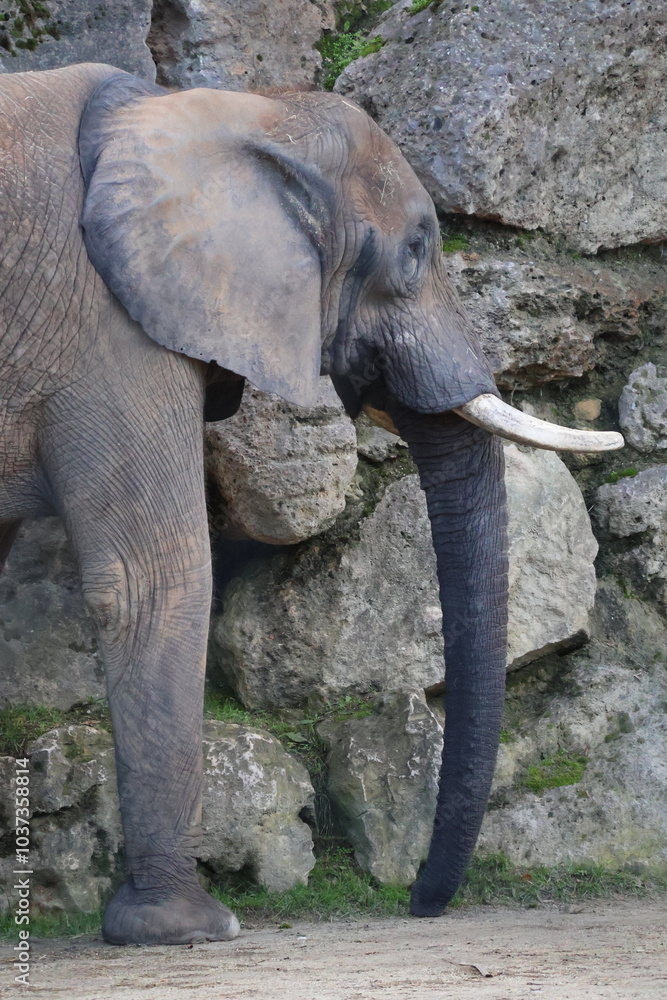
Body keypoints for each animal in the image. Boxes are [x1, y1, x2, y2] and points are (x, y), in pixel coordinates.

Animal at [0, 63, 623, 945]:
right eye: (415, 250)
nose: (418, 903)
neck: (221, 108)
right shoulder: (106, 330)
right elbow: (149, 578)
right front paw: (191, 927)